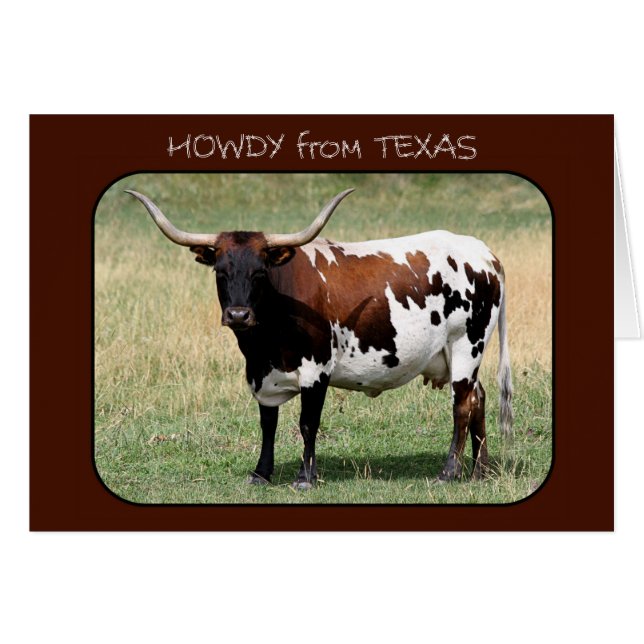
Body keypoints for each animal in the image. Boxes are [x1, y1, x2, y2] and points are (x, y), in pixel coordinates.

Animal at [126, 188, 513, 489]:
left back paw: (448, 473)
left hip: (466, 345)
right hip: (456, 355)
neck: (264, 342)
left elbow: (307, 422)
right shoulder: (262, 373)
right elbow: (268, 423)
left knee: (462, 405)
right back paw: (479, 471)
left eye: (260, 272)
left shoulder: (316, 368)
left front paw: (304, 477)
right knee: (478, 398)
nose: (238, 315)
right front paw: (261, 474)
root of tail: (485, 254)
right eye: (221, 272)